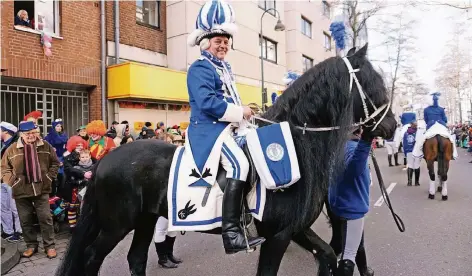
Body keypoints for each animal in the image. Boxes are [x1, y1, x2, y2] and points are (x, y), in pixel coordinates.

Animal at [55, 44, 396, 274]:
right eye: (374, 83)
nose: (391, 126)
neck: (297, 145)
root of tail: (104, 160)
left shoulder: (294, 229)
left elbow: (327, 255)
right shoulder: (277, 235)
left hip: (145, 219)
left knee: (135, 259)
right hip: (117, 225)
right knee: (91, 258)